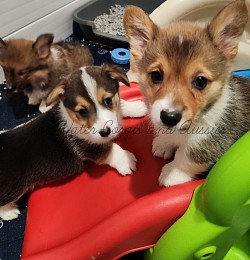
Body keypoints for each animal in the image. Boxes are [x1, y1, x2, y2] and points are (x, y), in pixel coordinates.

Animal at [0, 64, 147, 220]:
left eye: (108, 100)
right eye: (82, 111)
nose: (105, 132)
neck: (73, 119)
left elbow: (121, 106)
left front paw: (137, 107)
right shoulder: (90, 148)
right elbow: (111, 148)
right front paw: (126, 160)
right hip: (15, 187)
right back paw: (9, 212)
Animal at [123, 0, 250, 187]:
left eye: (200, 81)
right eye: (156, 75)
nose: (169, 118)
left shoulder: (209, 144)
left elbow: (186, 159)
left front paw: (171, 174)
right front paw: (164, 143)